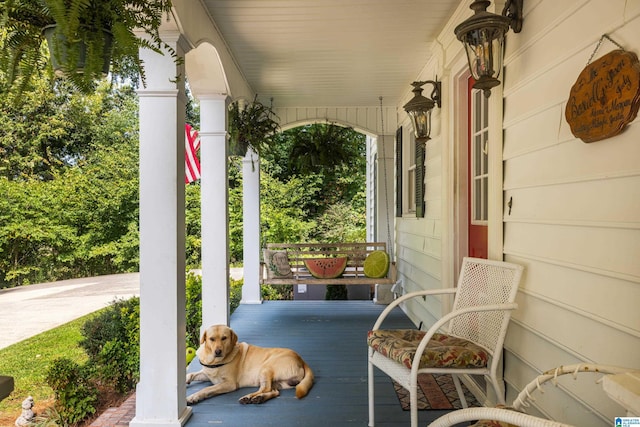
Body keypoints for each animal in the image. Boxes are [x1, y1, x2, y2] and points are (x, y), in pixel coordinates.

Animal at [185, 326, 316, 406]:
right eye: (211, 339)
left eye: (224, 338)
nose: (218, 352)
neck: (214, 362)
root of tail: (301, 359)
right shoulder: (207, 374)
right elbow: (191, 374)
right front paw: (186, 380)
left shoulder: (229, 384)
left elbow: (207, 389)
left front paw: (193, 397)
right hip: (276, 382)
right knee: (274, 391)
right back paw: (260, 398)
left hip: (265, 368)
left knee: (265, 389)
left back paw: (249, 397)